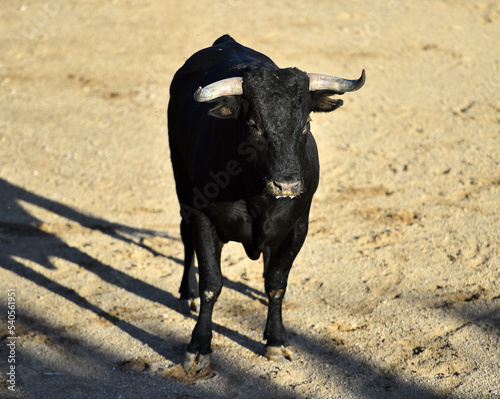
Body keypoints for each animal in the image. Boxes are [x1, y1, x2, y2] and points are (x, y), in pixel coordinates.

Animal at [166, 35, 366, 372]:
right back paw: (186, 293)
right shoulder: (204, 219)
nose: (287, 185)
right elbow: (211, 284)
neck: (256, 193)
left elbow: (276, 282)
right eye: (253, 124)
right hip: (182, 185)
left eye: (306, 122)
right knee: (185, 236)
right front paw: (199, 346)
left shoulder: (298, 226)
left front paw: (275, 339)